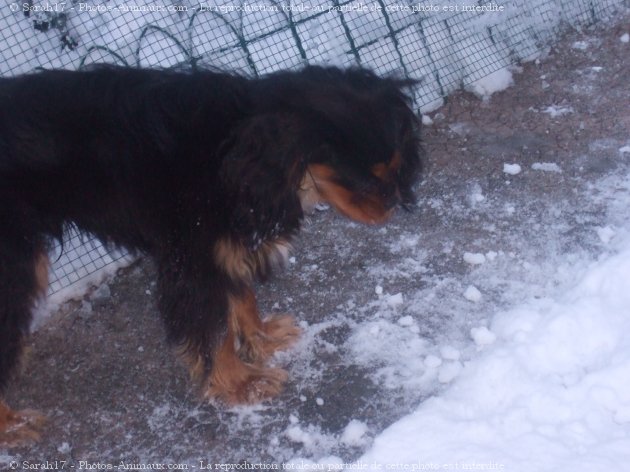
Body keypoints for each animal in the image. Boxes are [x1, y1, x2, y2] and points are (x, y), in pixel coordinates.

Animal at [1, 64, 424, 444]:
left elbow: (241, 297)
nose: (394, 203)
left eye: (395, 166)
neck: (233, 148)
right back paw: (12, 425)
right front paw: (242, 384)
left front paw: (261, 339)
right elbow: (215, 329)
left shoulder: (227, 244)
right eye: (365, 180)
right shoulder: (194, 261)